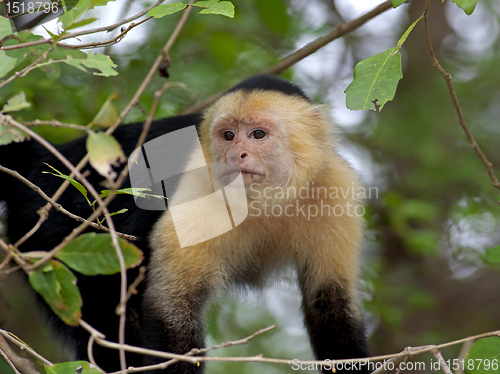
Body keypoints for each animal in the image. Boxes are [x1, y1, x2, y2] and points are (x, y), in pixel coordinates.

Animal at [0, 74, 368, 372]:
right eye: (228, 135)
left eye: (258, 134)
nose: (234, 155)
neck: (266, 201)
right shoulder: (201, 185)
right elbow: (171, 309)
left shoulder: (335, 188)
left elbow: (332, 305)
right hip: (49, 218)